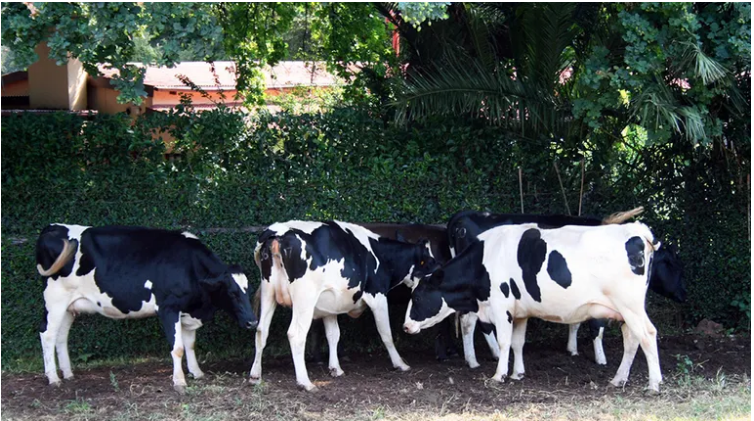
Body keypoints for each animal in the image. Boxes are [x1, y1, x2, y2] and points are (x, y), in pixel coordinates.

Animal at [36, 223, 258, 390]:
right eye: (232, 293)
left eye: (248, 291)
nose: (252, 322)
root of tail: (53, 228)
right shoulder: (168, 308)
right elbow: (177, 348)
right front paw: (179, 381)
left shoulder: (187, 311)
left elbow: (190, 345)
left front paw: (197, 372)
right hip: (55, 301)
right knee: (47, 334)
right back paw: (53, 378)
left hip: (69, 307)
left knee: (61, 337)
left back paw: (68, 374)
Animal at [248, 220, 434, 390]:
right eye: (430, 262)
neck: (381, 257)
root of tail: (277, 232)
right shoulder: (378, 296)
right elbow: (386, 333)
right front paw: (400, 363)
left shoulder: (329, 305)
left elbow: (333, 335)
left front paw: (335, 369)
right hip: (304, 298)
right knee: (296, 334)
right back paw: (305, 382)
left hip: (268, 292)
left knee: (261, 330)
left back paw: (255, 376)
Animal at [406, 221, 664, 392]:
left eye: (417, 298)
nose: (405, 326)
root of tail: (638, 230)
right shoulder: (520, 312)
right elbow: (518, 343)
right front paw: (517, 373)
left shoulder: (502, 307)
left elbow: (504, 342)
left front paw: (499, 375)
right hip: (625, 311)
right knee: (631, 340)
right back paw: (619, 379)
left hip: (630, 305)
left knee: (647, 335)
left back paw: (653, 384)